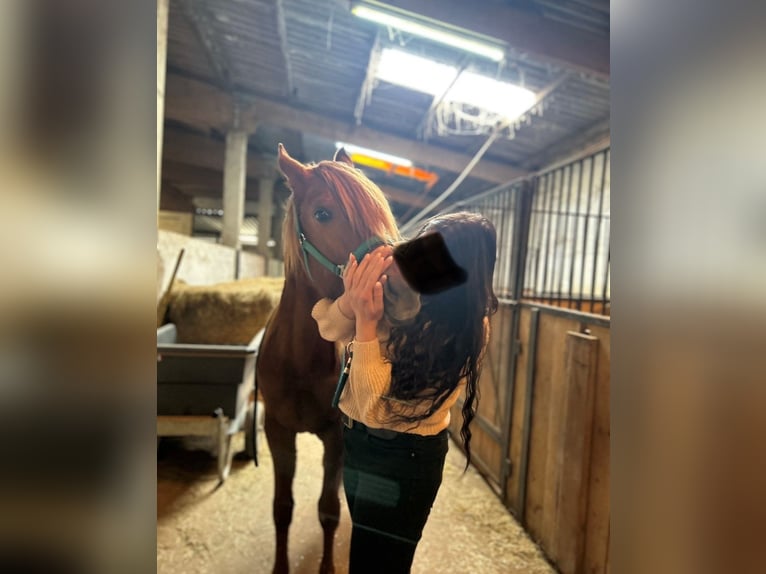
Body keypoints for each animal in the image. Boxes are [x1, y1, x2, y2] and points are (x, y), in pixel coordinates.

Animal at [256, 144, 418, 574]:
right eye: (323, 213)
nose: (406, 291)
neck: (299, 359)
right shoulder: (277, 430)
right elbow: (282, 507)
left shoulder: (336, 436)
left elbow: (328, 510)